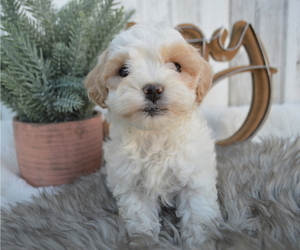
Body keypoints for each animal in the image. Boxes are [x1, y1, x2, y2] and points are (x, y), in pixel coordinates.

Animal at [84, 25, 220, 248]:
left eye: (177, 66)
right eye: (123, 71)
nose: (153, 89)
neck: (155, 135)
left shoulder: (195, 178)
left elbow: (198, 216)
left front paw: (201, 242)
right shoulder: (131, 184)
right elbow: (140, 219)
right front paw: (144, 241)